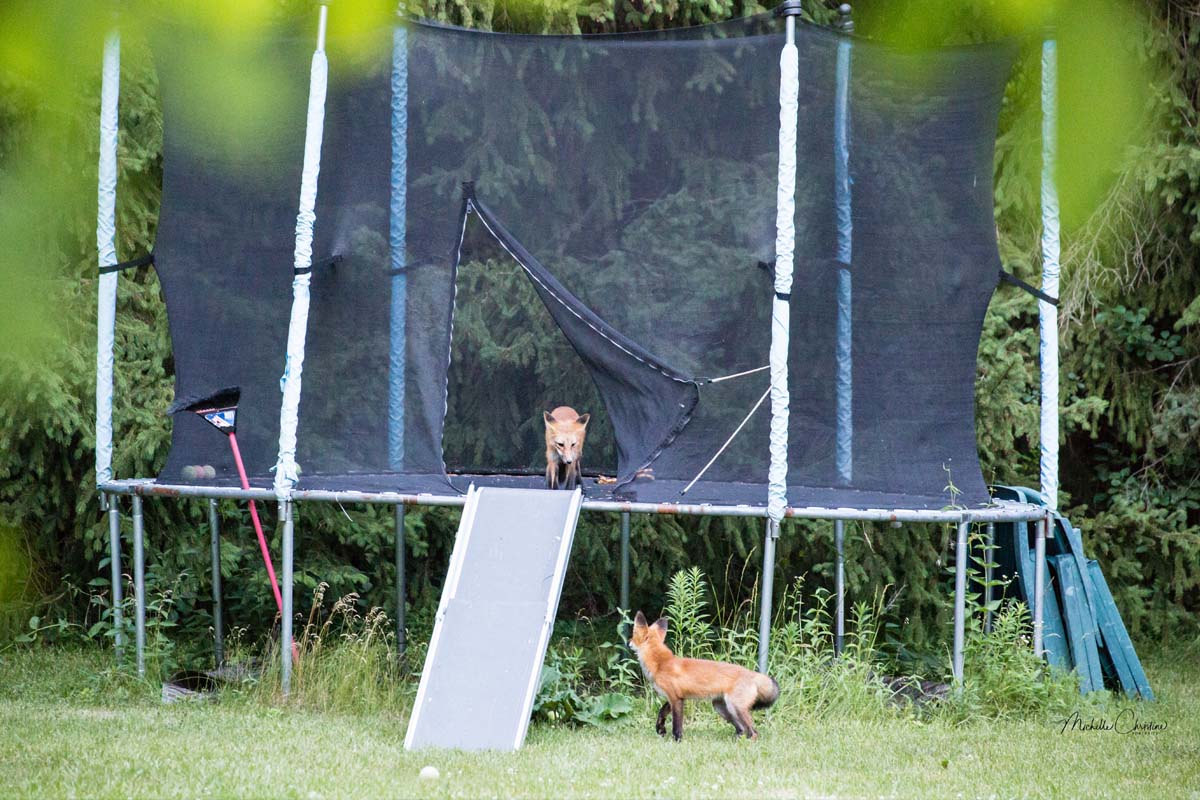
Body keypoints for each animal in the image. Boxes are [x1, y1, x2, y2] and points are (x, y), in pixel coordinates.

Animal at [628, 610, 779, 742]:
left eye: (633, 634)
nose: (628, 642)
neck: (661, 663)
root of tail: (753, 674)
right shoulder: (674, 696)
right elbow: (661, 713)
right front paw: (660, 729)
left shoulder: (676, 699)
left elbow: (677, 724)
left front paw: (677, 740)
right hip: (722, 708)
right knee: (742, 729)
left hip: (735, 707)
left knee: (753, 732)